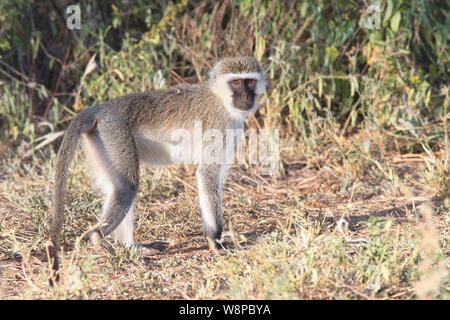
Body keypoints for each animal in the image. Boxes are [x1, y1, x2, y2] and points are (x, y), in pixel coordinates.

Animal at [47, 56, 268, 282]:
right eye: (235, 83)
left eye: (249, 82)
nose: (246, 95)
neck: (221, 99)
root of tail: (101, 109)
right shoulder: (220, 125)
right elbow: (207, 174)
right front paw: (215, 240)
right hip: (114, 133)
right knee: (127, 187)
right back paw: (98, 238)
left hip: (101, 141)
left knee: (118, 188)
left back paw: (130, 247)